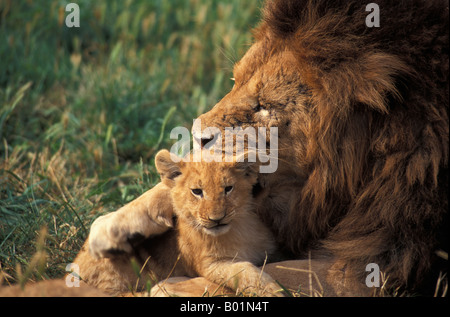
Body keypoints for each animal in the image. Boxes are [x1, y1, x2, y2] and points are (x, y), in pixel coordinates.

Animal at [79, 0, 448, 296]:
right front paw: (111, 228)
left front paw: (175, 285)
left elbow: (280, 271)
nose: (197, 135)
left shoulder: (383, 257)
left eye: (264, 107)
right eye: (234, 81)